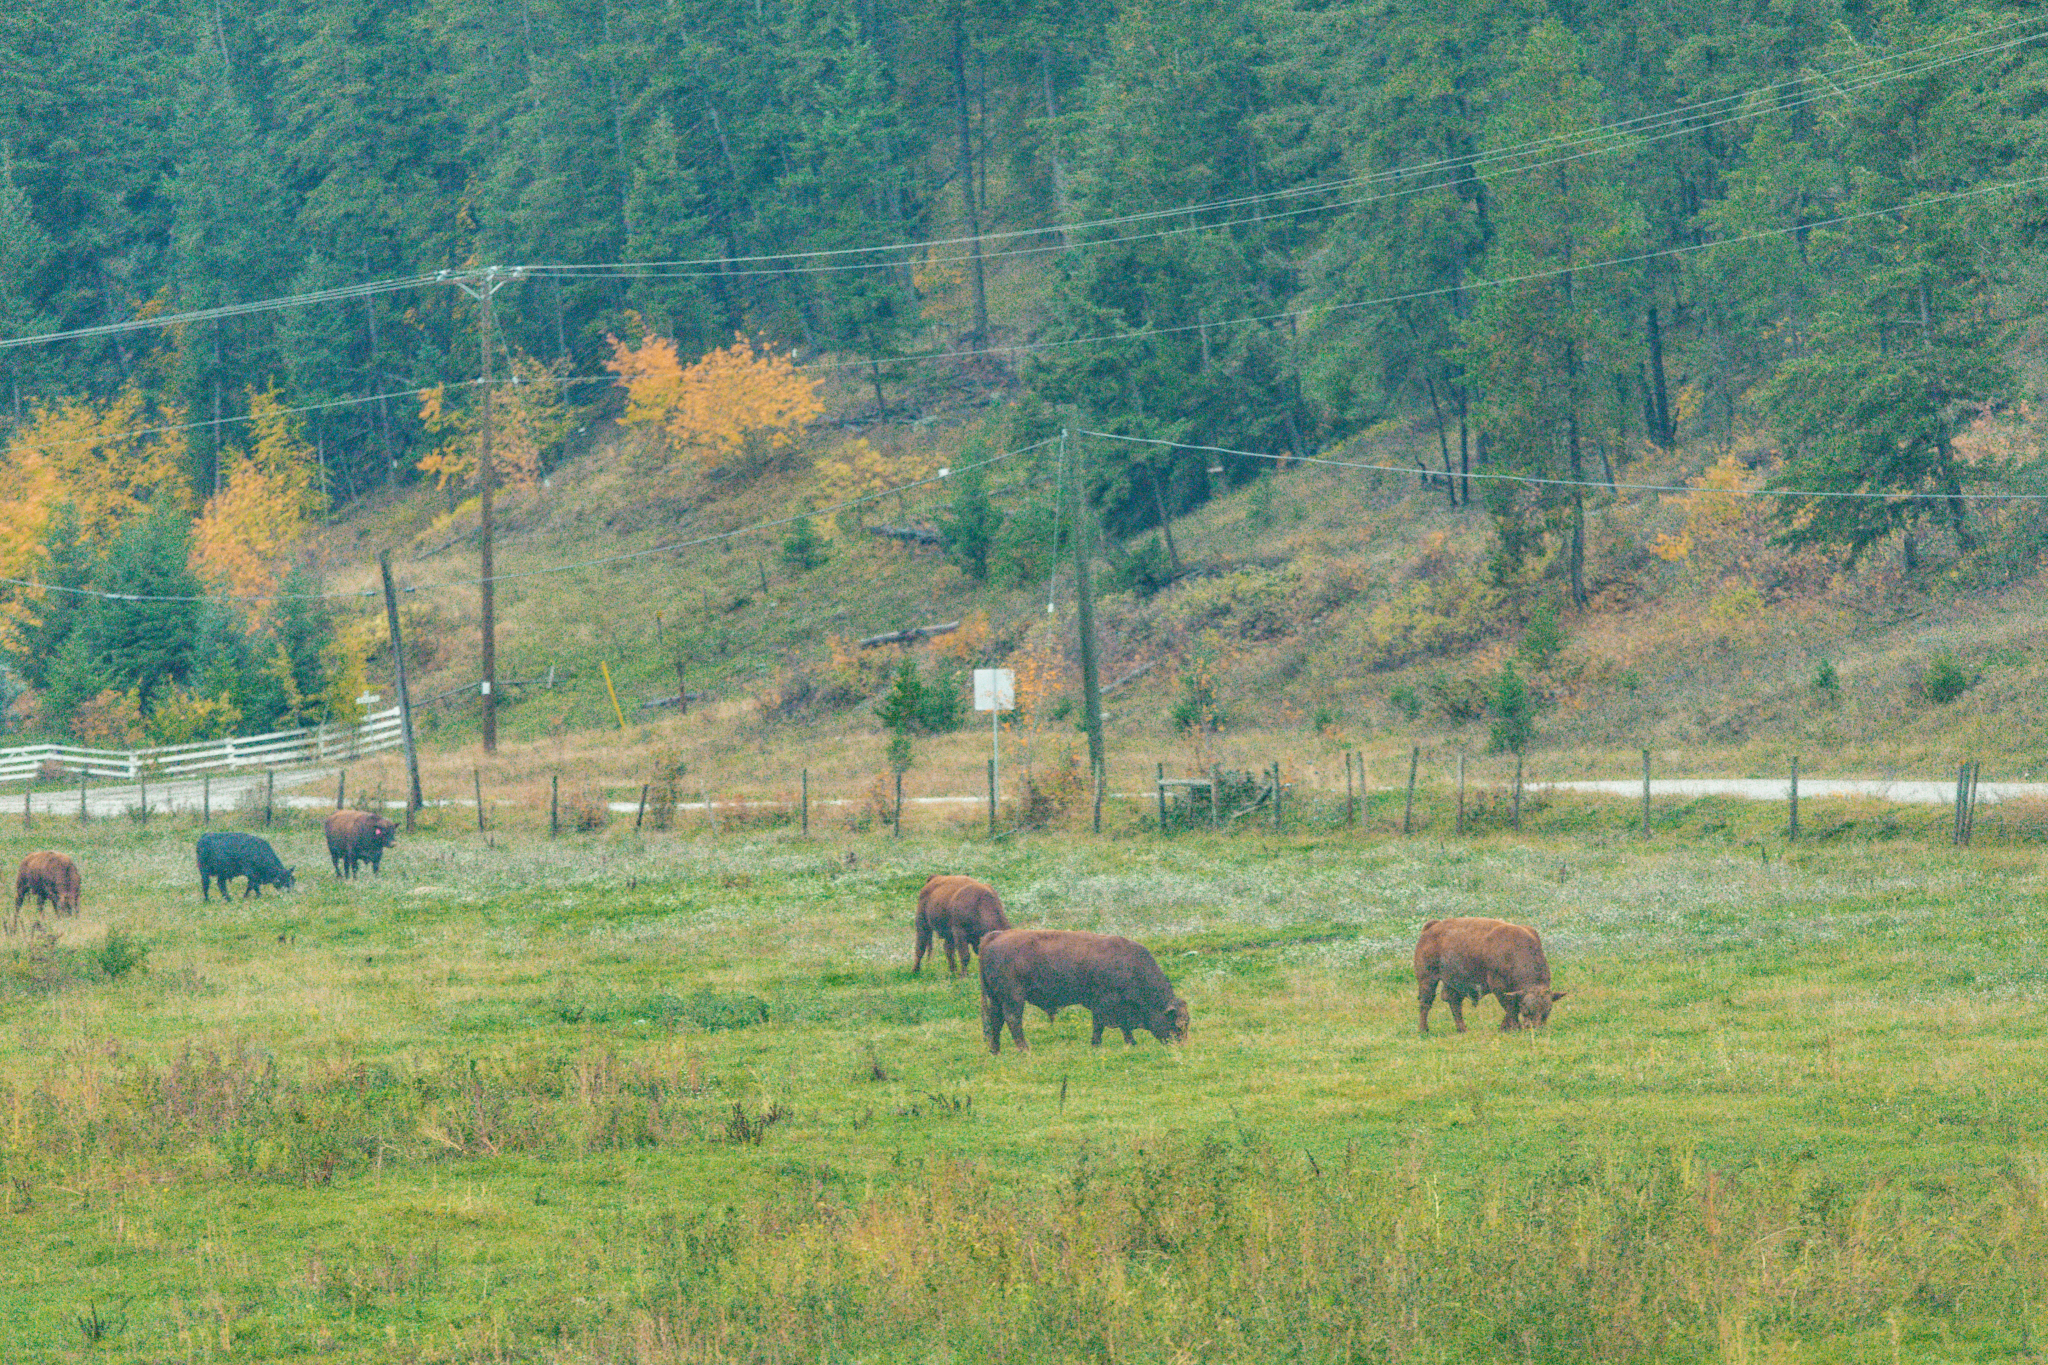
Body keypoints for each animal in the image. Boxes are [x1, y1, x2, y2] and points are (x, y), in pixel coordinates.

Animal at [983, 929, 1196, 1055]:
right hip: (1014, 998)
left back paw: (995, 1050)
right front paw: (1096, 1044)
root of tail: (995, 936)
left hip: (995, 998)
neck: (1130, 965)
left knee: (995, 1020)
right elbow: (1099, 1024)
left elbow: (1122, 1026)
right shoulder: (1104, 1003)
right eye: (1178, 1025)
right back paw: (1025, 1049)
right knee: (1012, 1020)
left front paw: (1131, 1043)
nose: (1181, 1046)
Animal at [1409, 916, 1564, 1035]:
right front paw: (1515, 1027)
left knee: (1454, 1002)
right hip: (1427, 980)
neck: (1513, 950)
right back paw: (1424, 1030)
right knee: (1426, 1003)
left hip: (1452, 983)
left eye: (1548, 1010)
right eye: (1527, 1009)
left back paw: (1462, 1029)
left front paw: (1504, 1028)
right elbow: (1511, 1008)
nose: (1536, 1028)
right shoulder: (1499, 987)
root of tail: (1431, 927)